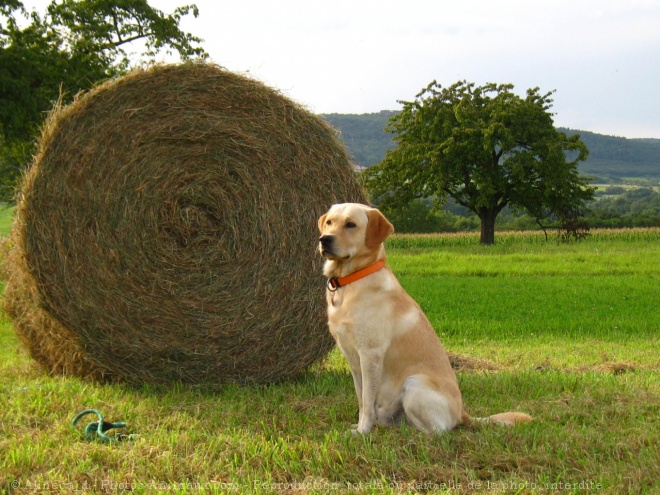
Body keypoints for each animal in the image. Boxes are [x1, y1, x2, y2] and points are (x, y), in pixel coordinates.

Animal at [318, 203, 532, 436]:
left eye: (351, 224)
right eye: (329, 222)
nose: (324, 239)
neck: (351, 281)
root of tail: (463, 412)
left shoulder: (370, 355)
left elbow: (366, 399)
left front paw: (363, 431)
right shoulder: (353, 359)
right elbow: (361, 398)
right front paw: (359, 426)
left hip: (414, 383)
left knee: (439, 430)